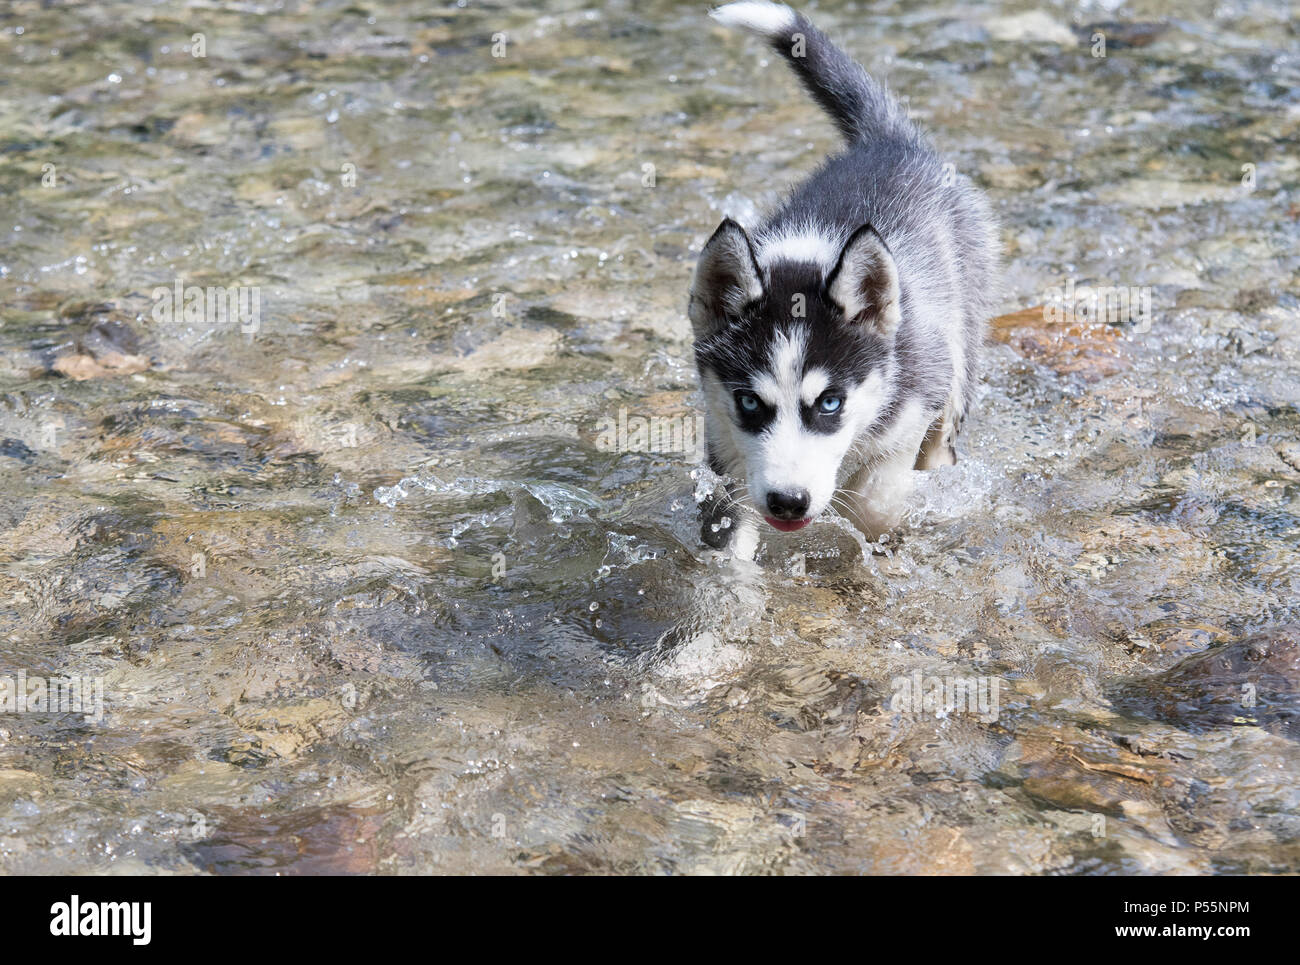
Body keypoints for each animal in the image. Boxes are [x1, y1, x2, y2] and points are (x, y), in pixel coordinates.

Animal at [696, 1, 998, 551]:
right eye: (749, 401)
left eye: (830, 402)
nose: (788, 502)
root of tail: (888, 141)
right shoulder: (724, 442)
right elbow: (727, 540)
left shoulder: (914, 398)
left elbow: (873, 502)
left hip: (962, 333)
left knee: (943, 432)